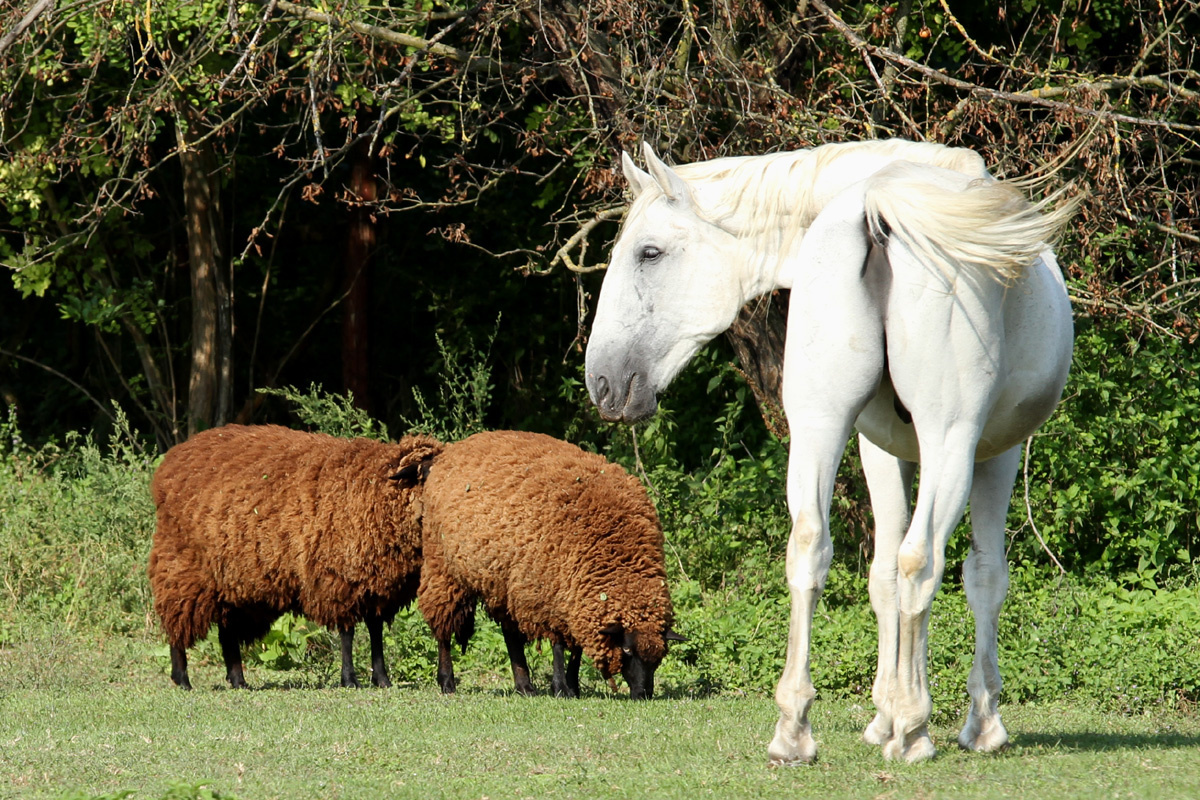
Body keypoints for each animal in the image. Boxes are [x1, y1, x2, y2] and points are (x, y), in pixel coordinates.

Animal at [150, 422, 441, 690]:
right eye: (427, 474)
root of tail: (174, 458)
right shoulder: (339, 578)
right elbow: (347, 634)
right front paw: (350, 679)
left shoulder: (378, 584)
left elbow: (375, 631)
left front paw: (381, 679)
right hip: (182, 569)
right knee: (177, 623)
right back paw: (182, 679)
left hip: (232, 583)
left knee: (227, 633)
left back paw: (238, 680)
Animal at [420, 429, 686, 695]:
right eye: (627, 649)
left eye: (660, 656)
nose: (643, 694)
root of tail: (453, 449)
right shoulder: (549, 593)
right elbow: (558, 645)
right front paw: (560, 687)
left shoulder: (575, 594)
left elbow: (576, 647)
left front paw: (573, 686)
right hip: (442, 566)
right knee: (443, 629)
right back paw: (447, 682)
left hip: (504, 583)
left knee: (510, 634)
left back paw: (524, 685)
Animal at [585, 140, 1075, 767]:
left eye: (649, 253)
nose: (603, 381)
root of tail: (875, 210)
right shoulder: (994, 451)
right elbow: (981, 575)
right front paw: (975, 722)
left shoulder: (878, 447)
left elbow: (881, 574)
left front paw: (881, 714)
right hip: (948, 442)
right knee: (920, 560)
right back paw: (913, 729)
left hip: (822, 426)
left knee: (811, 547)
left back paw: (794, 730)